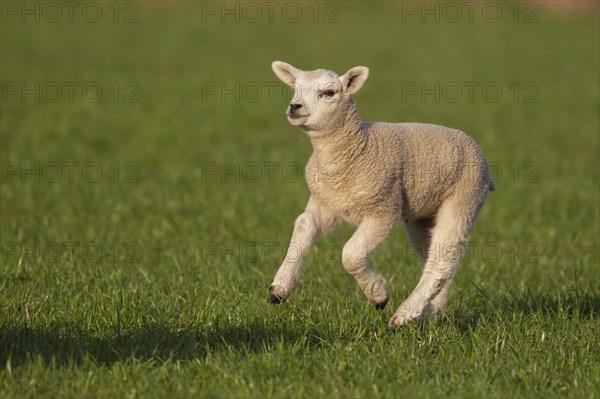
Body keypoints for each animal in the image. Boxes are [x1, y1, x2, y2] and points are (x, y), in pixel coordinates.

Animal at [270, 61, 494, 326]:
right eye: (295, 89)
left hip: (464, 198)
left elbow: (351, 255)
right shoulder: (325, 203)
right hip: (423, 215)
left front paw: (378, 294)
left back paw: (404, 315)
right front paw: (279, 289)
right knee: (439, 260)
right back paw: (431, 311)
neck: (356, 148)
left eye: (329, 92)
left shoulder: (383, 209)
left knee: (441, 262)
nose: (294, 107)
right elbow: (303, 226)